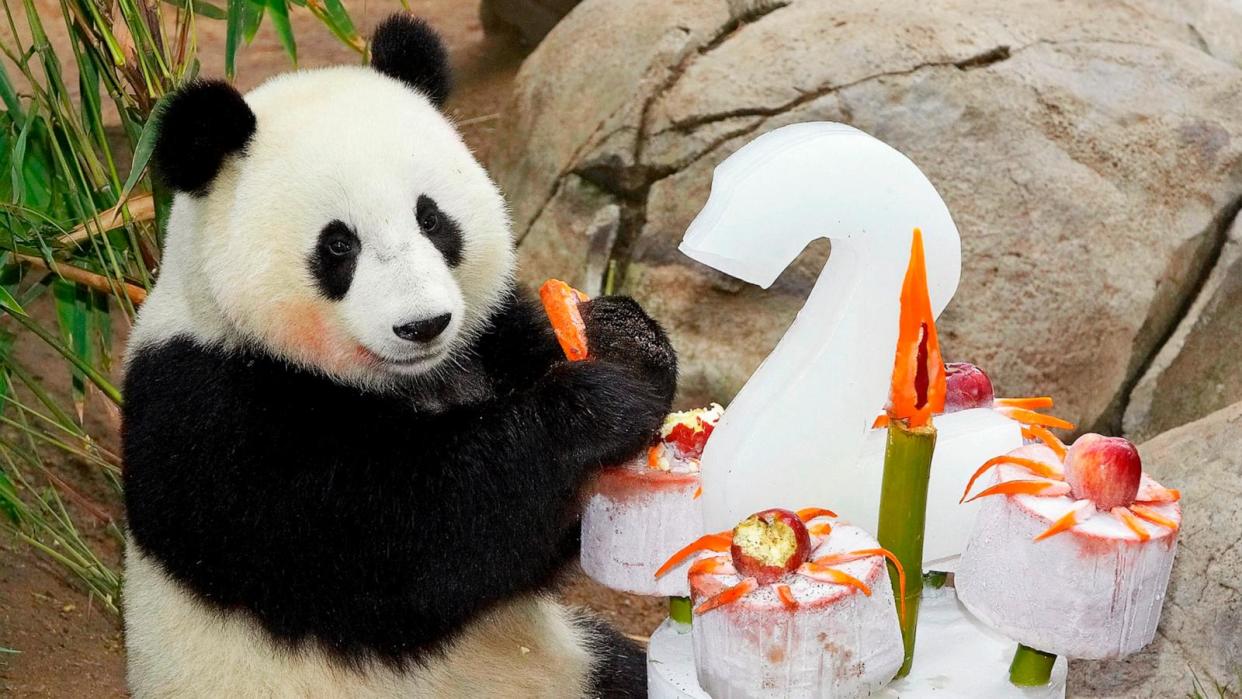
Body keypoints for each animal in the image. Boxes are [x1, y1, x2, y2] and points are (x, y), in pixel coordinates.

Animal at [121, 13, 675, 695]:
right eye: (338, 245)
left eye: (431, 220)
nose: (423, 325)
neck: (404, 381)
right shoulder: (213, 412)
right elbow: (408, 550)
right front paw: (591, 407)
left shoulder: (485, 338)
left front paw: (626, 341)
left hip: (568, 664)